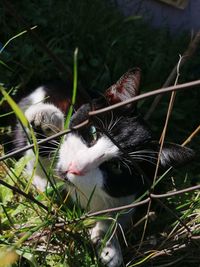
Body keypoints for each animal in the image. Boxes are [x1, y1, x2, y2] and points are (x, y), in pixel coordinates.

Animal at [14, 69, 195, 267]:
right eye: (93, 133)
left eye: (116, 167)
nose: (75, 167)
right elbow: (38, 165)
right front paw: (46, 120)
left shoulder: (130, 194)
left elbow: (120, 213)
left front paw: (108, 244)